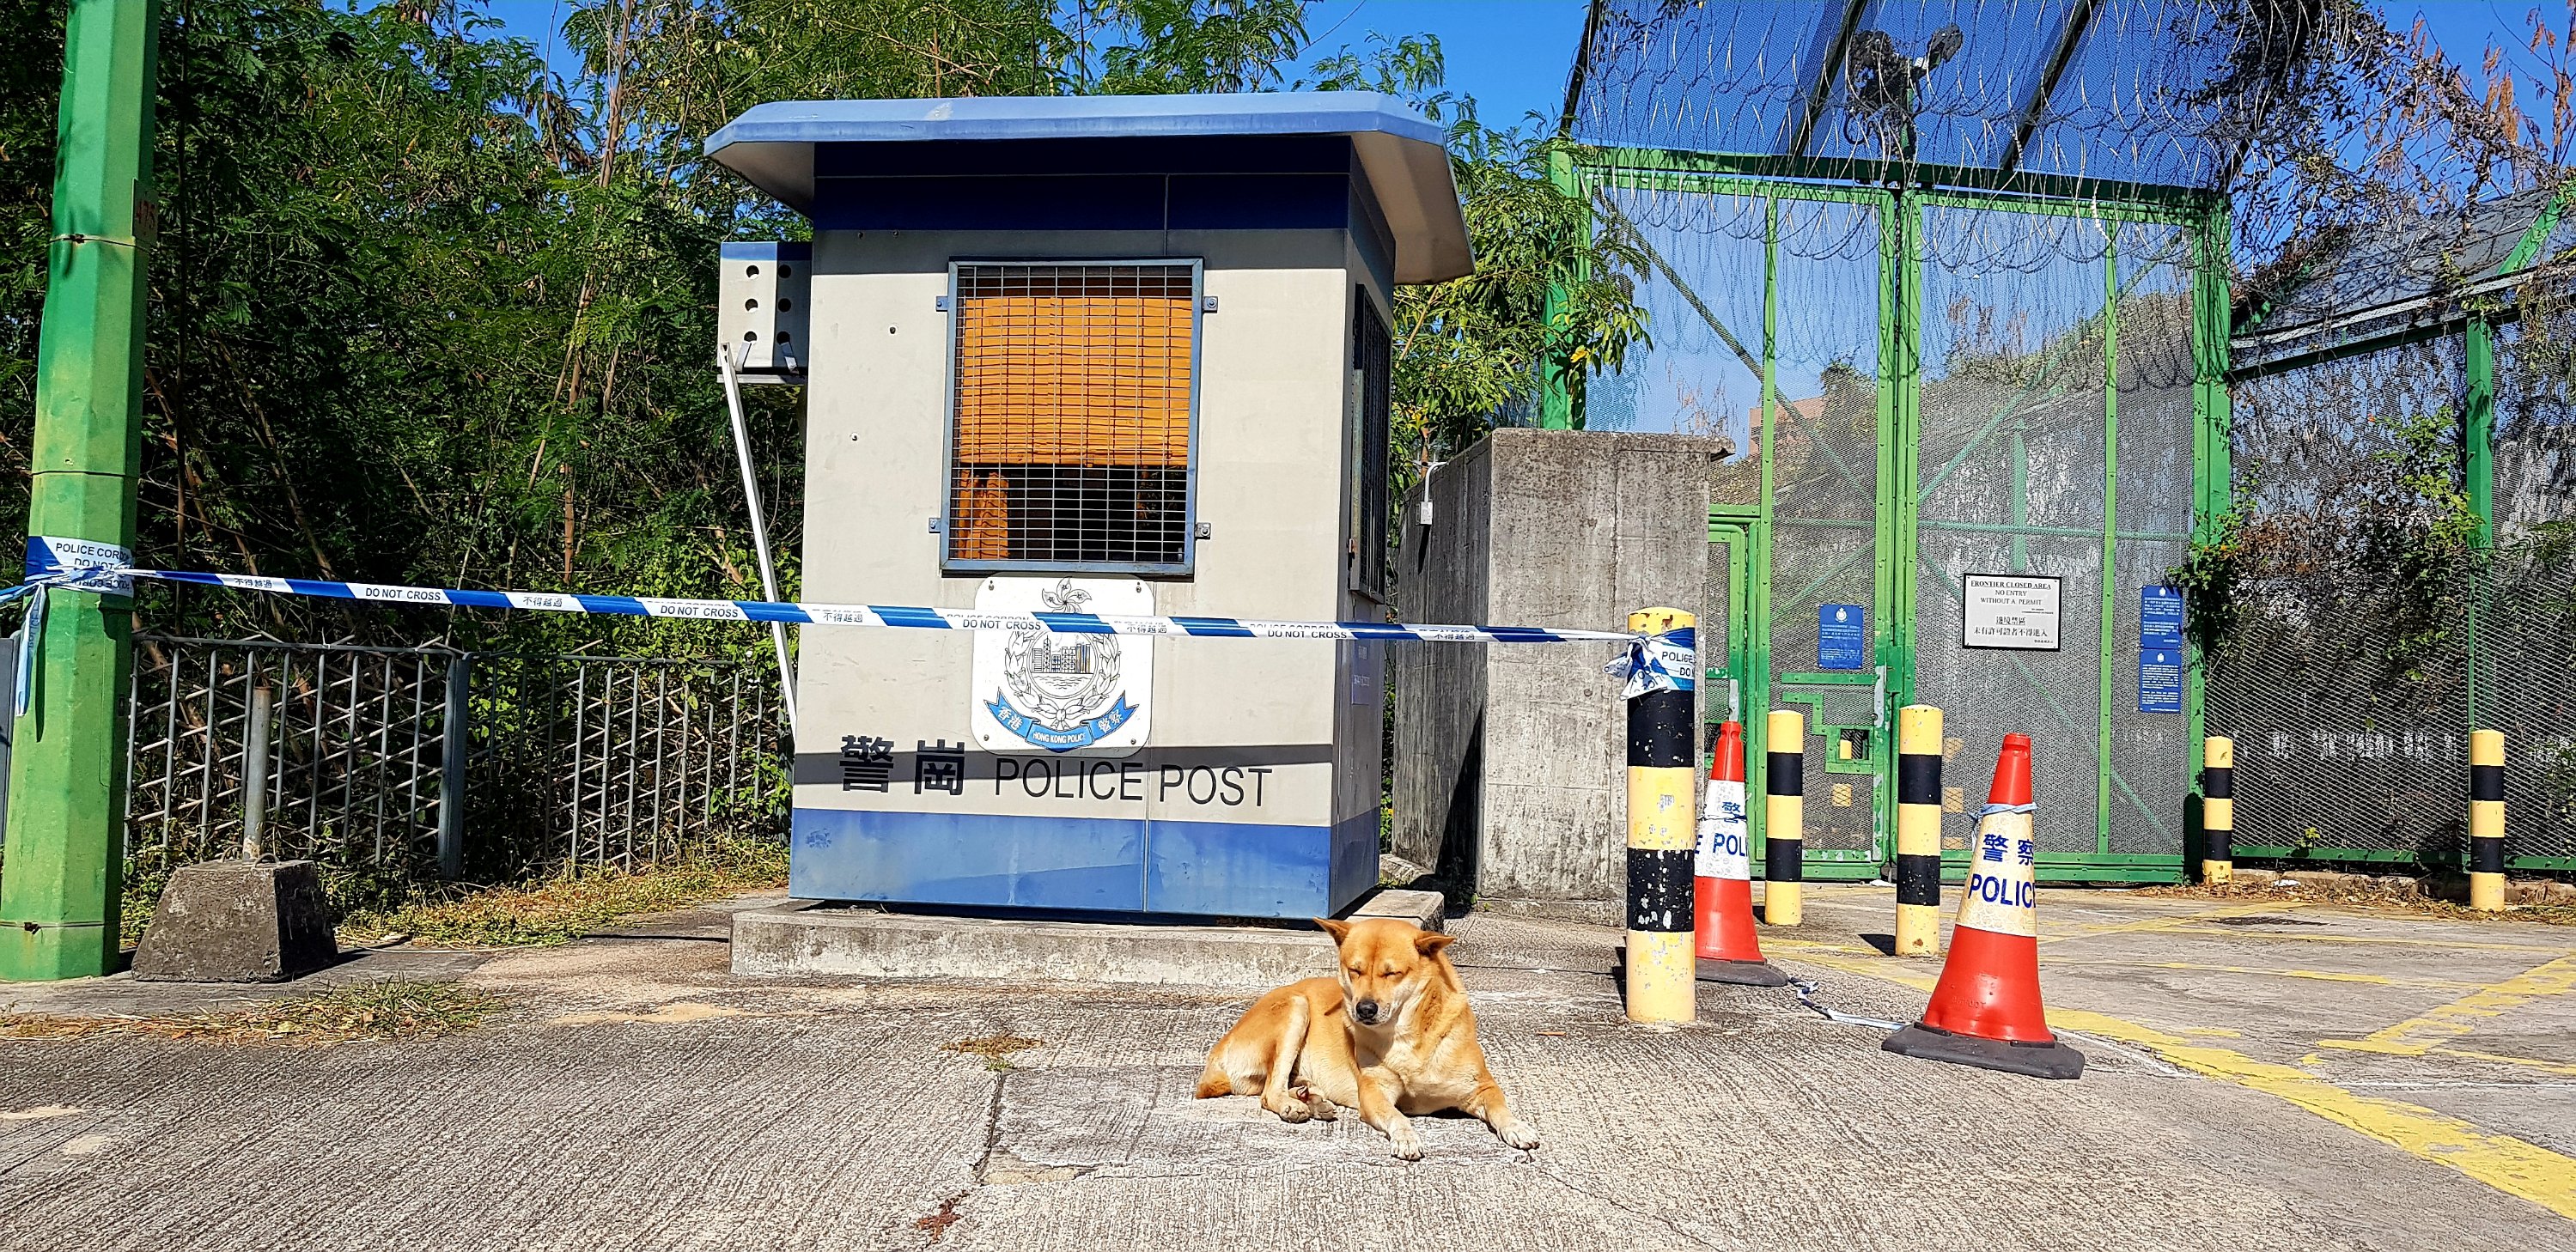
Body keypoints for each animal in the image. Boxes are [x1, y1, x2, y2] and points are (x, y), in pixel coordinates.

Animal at [1194, 916, 1539, 1160]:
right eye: (1355, 970)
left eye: (1392, 973)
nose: (1365, 1008)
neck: (1408, 1036)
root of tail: (1218, 1051)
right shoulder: (1374, 1093)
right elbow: (1395, 1114)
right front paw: (1406, 1135)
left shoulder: (1481, 1087)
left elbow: (1500, 1106)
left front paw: (1517, 1126)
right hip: (1296, 1007)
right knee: (1269, 1092)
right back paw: (1294, 1106)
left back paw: (1312, 1099)